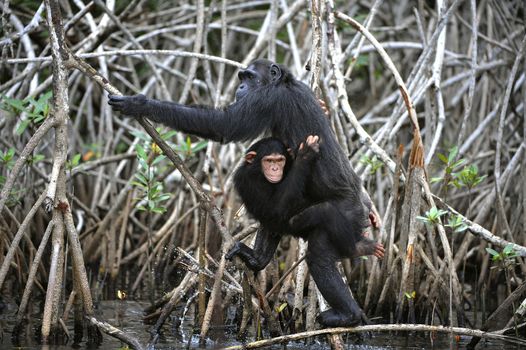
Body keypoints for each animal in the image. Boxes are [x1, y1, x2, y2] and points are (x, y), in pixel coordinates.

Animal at [232, 135, 388, 270]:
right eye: (269, 160)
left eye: (279, 160)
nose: (275, 169)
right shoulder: (249, 180)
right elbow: (276, 208)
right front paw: (306, 154)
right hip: (292, 226)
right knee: (327, 210)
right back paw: (356, 249)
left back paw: (257, 258)